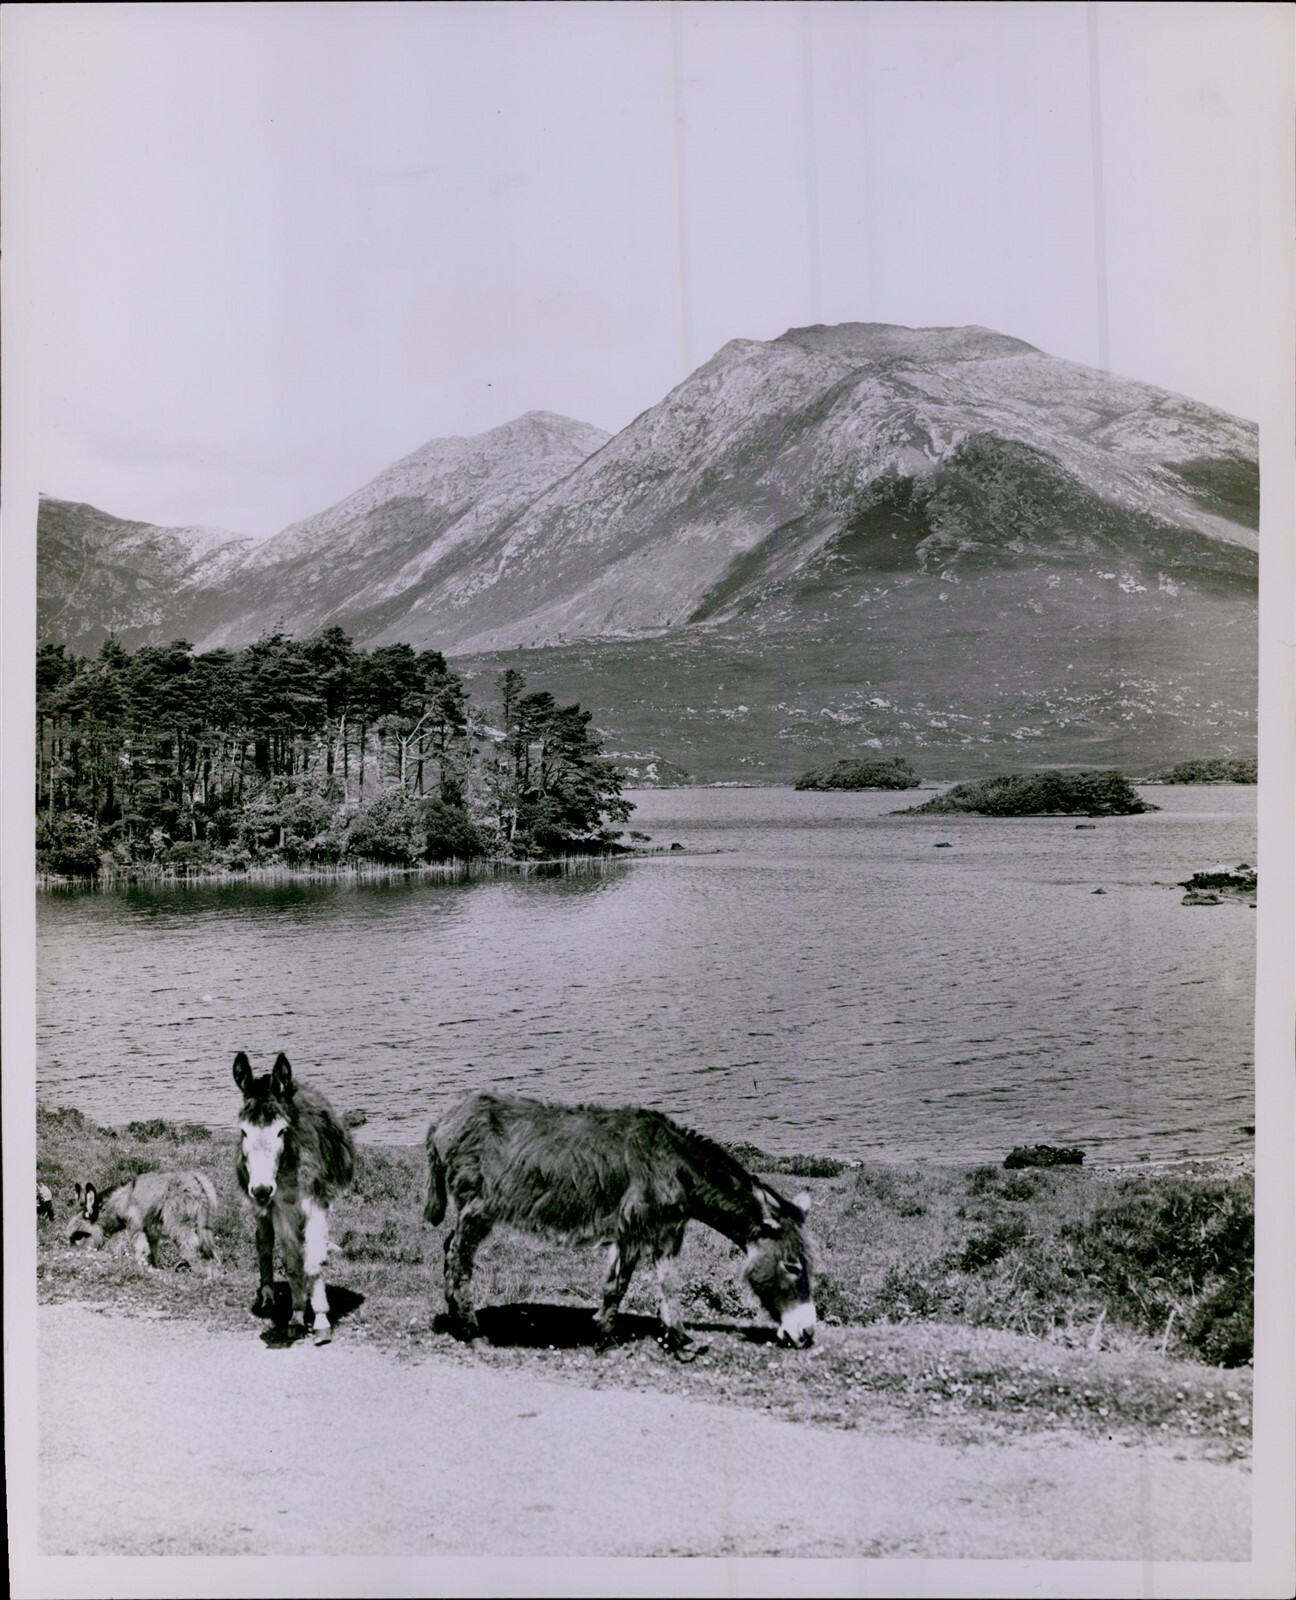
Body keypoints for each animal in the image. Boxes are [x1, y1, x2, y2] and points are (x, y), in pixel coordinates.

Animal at [67, 1171, 218, 1271]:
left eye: (79, 1236)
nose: (74, 1258)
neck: (124, 1200)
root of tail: (197, 1181)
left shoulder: (136, 1227)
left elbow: (141, 1251)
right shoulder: (151, 1235)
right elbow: (151, 1255)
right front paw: (152, 1271)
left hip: (178, 1225)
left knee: (192, 1245)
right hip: (205, 1227)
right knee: (211, 1251)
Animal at [233, 1051, 355, 1345]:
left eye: (281, 1131)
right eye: (244, 1131)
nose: (262, 1189)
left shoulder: (316, 1205)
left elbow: (315, 1260)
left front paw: (321, 1320)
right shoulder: (280, 1210)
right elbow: (292, 1264)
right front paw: (297, 1317)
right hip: (262, 1211)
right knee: (263, 1242)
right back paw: (267, 1295)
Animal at [424, 1092, 817, 1358]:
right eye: (792, 1267)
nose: (807, 1334)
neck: (675, 1166)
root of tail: (443, 1120)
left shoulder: (667, 1231)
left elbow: (668, 1284)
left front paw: (680, 1341)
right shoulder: (633, 1228)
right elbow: (618, 1285)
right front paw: (606, 1339)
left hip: (473, 1210)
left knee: (448, 1248)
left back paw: (456, 1320)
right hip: (478, 1207)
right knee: (459, 1258)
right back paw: (473, 1332)